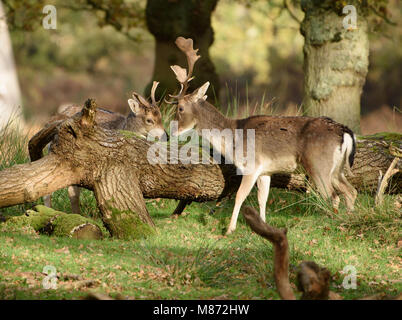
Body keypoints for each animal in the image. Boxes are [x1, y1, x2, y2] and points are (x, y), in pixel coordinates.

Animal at [168, 37, 356, 235]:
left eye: (180, 108)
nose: (172, 130)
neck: (232, 140)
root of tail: (344, 132)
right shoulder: (266, 171)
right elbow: (262, 198)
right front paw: (263, 227)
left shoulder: (251, 165)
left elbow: (240, 196)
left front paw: (229, 229)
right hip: (337, 168)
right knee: (351, 191)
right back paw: (348, 220)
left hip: (318, 165)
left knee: (333, 195)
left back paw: (330, 223)